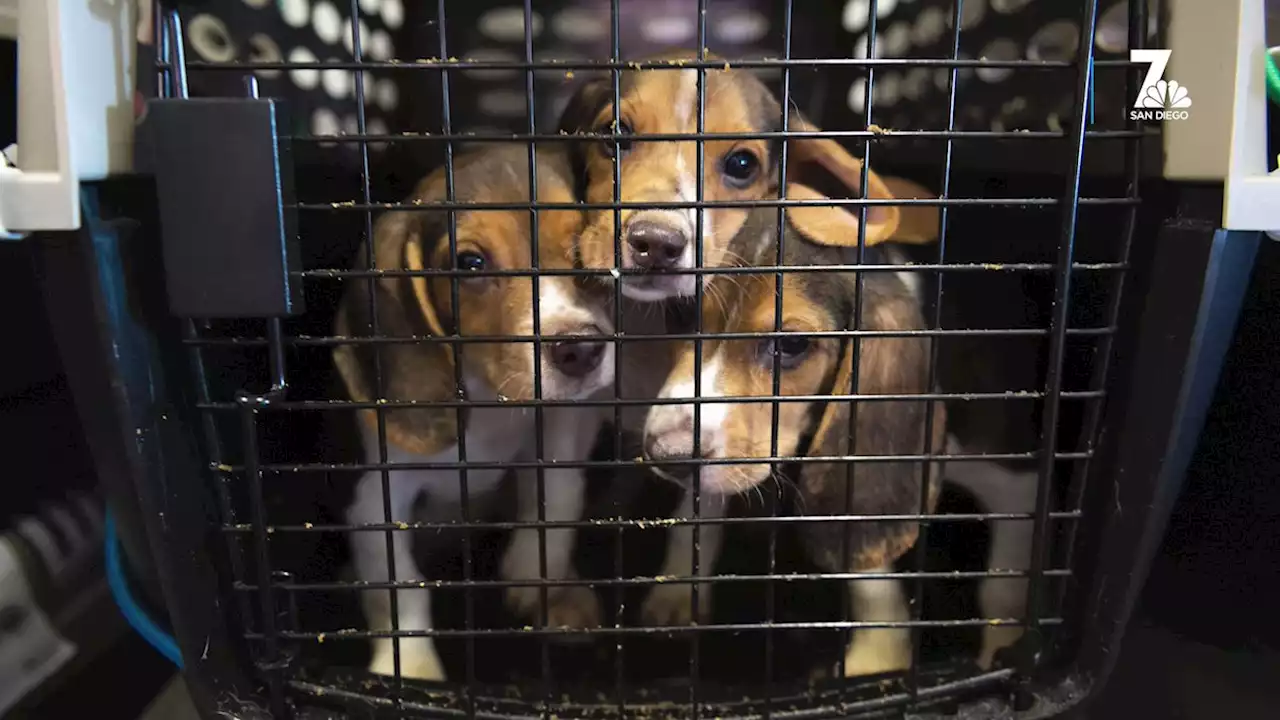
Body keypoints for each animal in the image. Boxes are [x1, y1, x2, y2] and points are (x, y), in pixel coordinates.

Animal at [332, 142, 616, 676]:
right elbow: (400, 585)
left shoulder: (560, 419)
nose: (581, 351)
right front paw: (412, 668)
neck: (488, 400)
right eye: (469, 263)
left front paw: (536, 571)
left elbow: (559, 490)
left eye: (583, 249)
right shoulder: (373, 499)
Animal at [640, 181, 952, 676]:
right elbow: (699, 509)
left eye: (792, 345)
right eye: (682, 315)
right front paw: (679, 583)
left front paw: (878, 655)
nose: (665, 455)